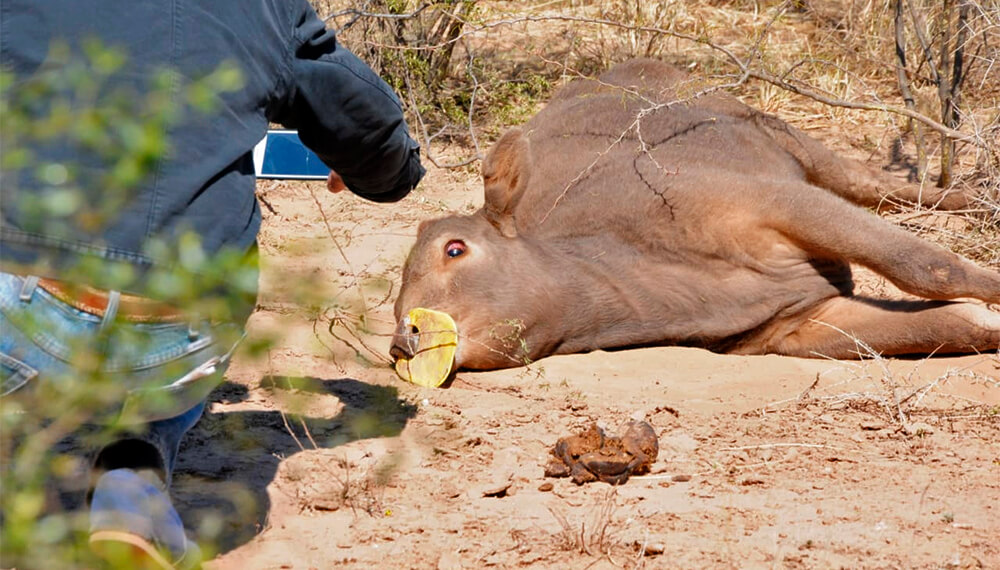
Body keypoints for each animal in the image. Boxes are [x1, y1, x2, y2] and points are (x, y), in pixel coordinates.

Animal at [390, 55, 1000, 370]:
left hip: (790, 137)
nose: (402, 340)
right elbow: (952, 326)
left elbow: (928, 266)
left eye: (454, 247)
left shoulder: (780, 201)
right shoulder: (795, 325)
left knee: (885, 185)